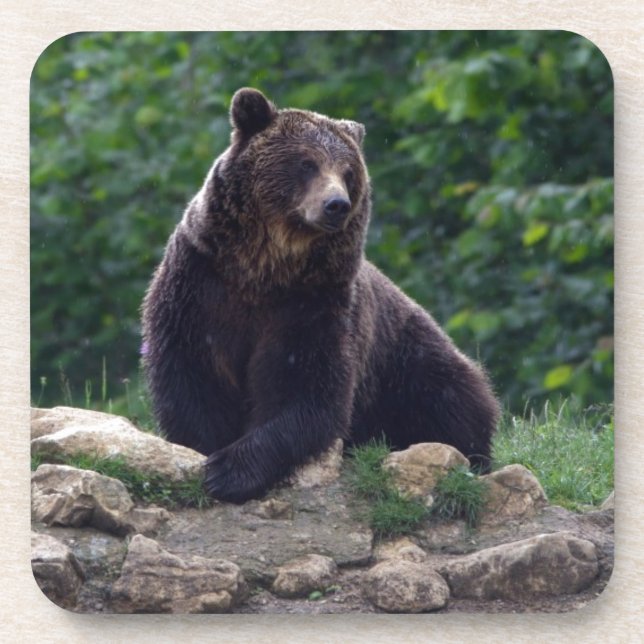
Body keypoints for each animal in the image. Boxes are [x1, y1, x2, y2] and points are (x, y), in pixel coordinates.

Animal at [142, 87, 500, 504]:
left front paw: (230, 470)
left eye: (348, 172)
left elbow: (309, 389)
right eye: (306, 163)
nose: (336, 205)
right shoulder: (200, 286)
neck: (263, 268)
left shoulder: (313, 303)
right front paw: (206, 453)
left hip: (408, 360)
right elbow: (191, 376)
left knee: (453, 401)